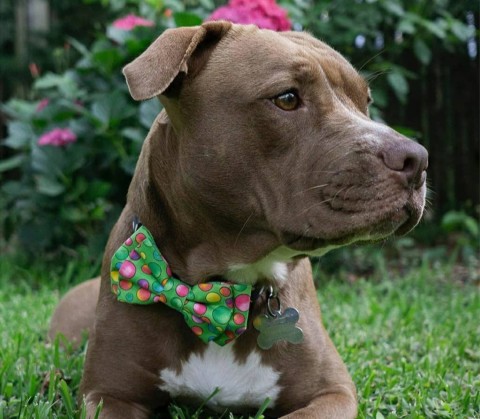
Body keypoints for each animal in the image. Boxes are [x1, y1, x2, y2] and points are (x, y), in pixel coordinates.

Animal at [49, 21, 428, 418]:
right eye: (287, 98)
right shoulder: (108, 394)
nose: (417, 158)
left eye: (365, 101)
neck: (221, 288)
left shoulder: (332, 393)